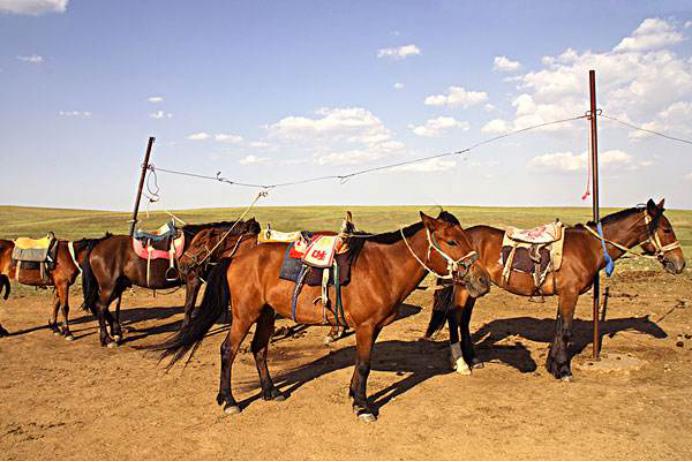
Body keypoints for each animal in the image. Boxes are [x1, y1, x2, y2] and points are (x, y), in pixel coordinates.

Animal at [82, 219, 260, 346]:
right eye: (252, 238)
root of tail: (99, 244)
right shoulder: (193, 280)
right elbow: (188, 307)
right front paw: (184, 332)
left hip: (118, 285)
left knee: (100, 306)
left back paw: (117, 332)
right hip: (109, 286)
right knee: (100, 306)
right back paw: (107, 339)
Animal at [150, 212, 492, 422]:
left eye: (466, 238)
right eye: (451, 241)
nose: (483, 280)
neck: (384, 267)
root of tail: (236, 258)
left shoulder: (372, 329)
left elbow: (361, 365)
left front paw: (354, 396)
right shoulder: (366, 327)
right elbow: (364, 366)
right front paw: (363, 405)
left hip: (266, 315)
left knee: (259, 349)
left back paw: (271, 392)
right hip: (245, 315)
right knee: (228, 350)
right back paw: (230, 400)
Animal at [422, 200, 688, 380]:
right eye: (666, 229)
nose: (680, 263)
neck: (589, 247)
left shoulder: (565, 296)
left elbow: (559, 328)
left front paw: (553, 365)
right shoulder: (570, 294)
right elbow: (566, 330)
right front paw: (563, 369)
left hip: (474, 289)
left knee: (464, 320)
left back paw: (474, 359)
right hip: (463, 289)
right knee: (455, 317)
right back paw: (461, 362)